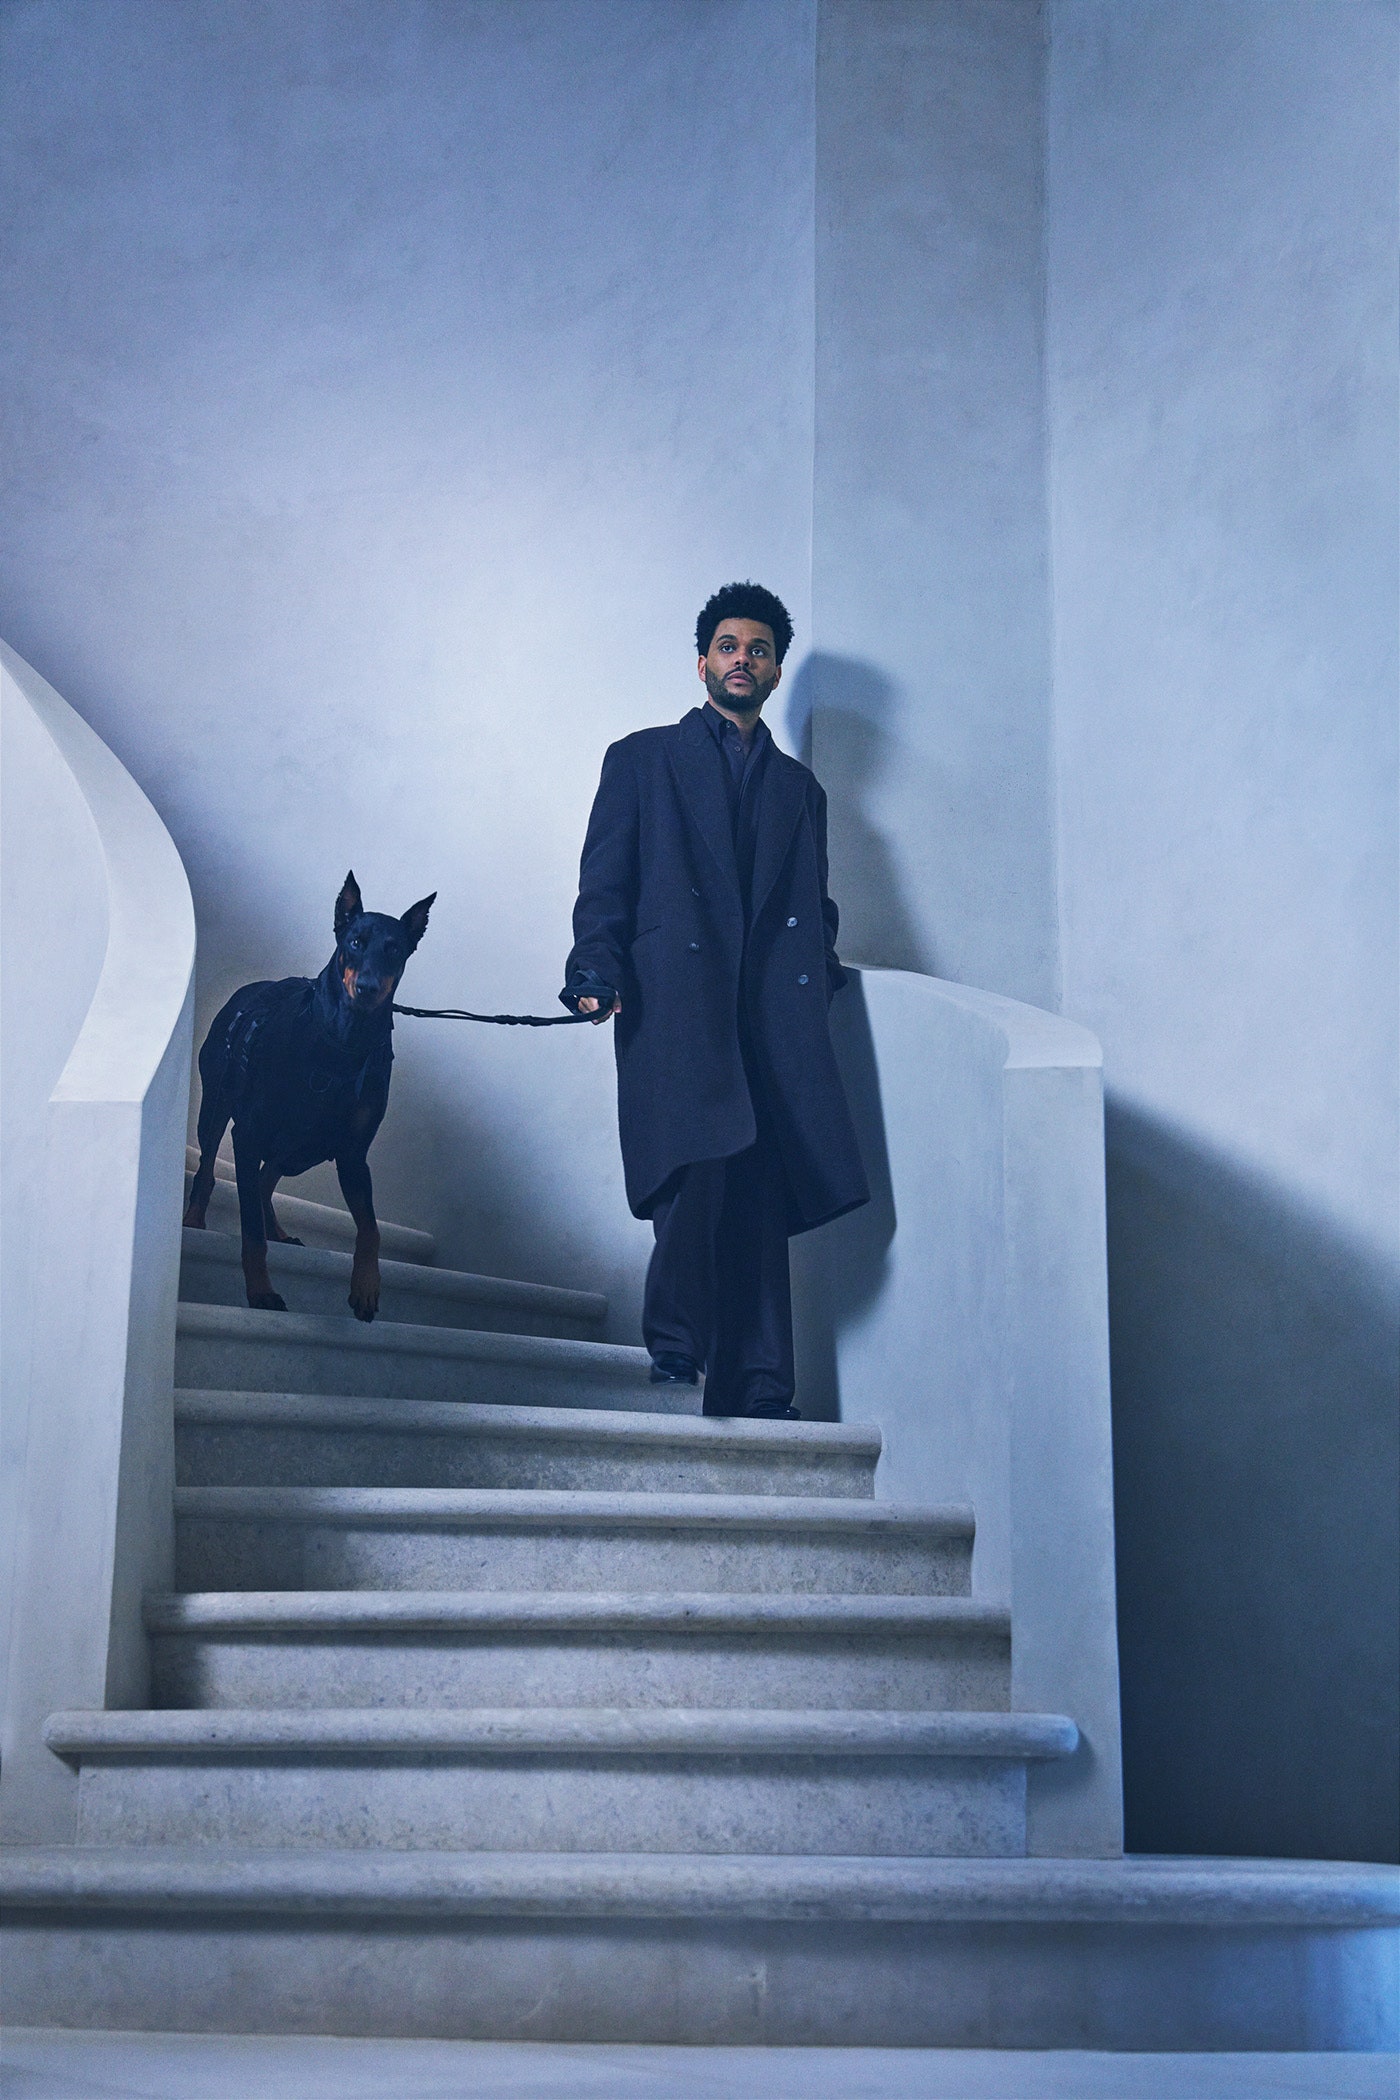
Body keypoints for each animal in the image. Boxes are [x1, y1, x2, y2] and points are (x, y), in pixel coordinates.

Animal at [183, 869, 432, 1310]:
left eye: (395, 950)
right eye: (355, 942)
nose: (368, 987)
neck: (342, 1044)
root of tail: (247, 989)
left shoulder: (353, 1153)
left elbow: (371, 1228)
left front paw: (366, 1286)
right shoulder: (248, 1134)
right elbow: (249, 1229)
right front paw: (261, 1291)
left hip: (305, 1145)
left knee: (266, 1178)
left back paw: (280, 1232)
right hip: (216, 1104)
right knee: (211, 1166)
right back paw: (195, 1220)